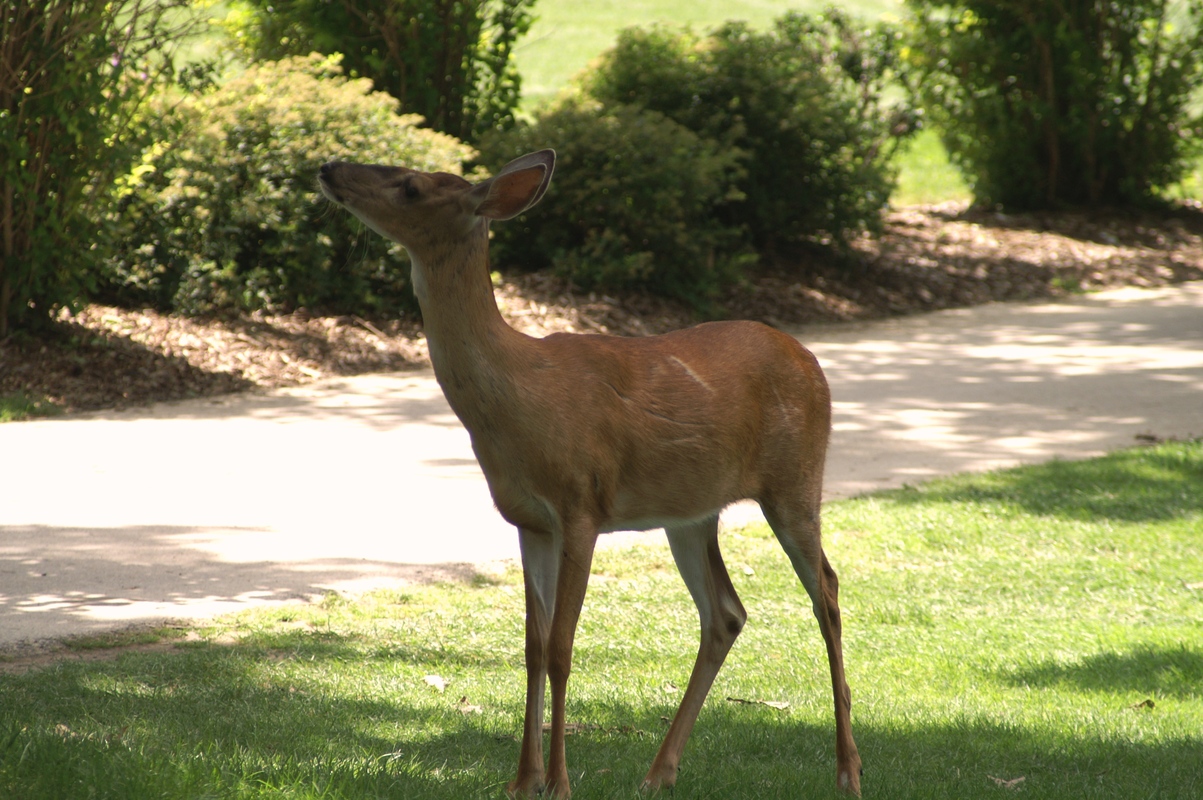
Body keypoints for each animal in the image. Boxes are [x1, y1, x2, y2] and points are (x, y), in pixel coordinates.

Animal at [319, 151, 861, 798]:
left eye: (411, 186)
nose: (328, 168)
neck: (519, 398)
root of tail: (811, 361)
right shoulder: (528, 521)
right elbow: (532, 646)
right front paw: (520, 782)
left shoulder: (582, 504)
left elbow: (561, 648)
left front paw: (558, 783)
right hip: (690, 513)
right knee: (725, 613)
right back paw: (658, 773)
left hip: (795, 480)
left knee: (827, 592)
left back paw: (848, 770)